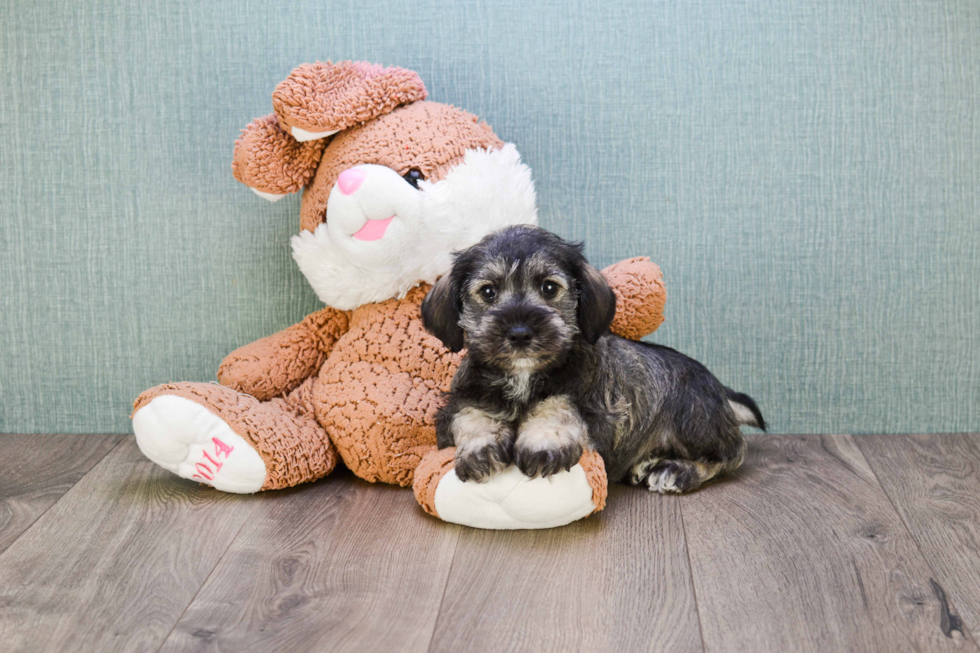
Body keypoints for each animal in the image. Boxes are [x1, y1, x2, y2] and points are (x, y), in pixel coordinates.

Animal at [422, 227, 764, 492]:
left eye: (549, 287)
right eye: (488, 292)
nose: (519, 333)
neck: (524, 376)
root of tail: (721, 390)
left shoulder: (598, 413)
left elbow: (559, 404)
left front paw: (544, 441)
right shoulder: (461, 399)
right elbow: (472, 413)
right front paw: (481, 448)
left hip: (693, 416)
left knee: (734, 451)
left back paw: (676, 471)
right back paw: (649, 464)